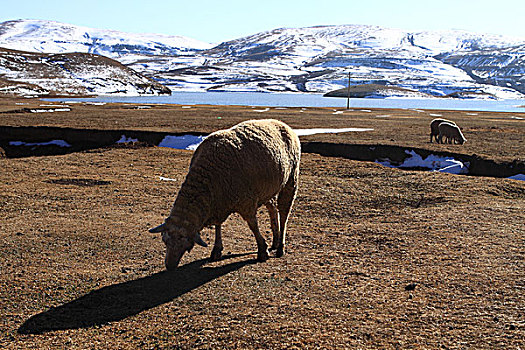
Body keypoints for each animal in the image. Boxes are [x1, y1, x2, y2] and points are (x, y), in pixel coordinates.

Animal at [149, 119, 300, 270]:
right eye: (165, 240)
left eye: (185, 243)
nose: (169, 266)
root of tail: (281, 123)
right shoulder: (219, 202)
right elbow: (218, 224)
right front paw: (216, 249)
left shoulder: (247, 201)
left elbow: (253, 225)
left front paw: (263, 250)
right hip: (269, 189)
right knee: (272, 209)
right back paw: (275, 240)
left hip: (291, 180)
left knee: (284, 213)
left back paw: (280, 247)